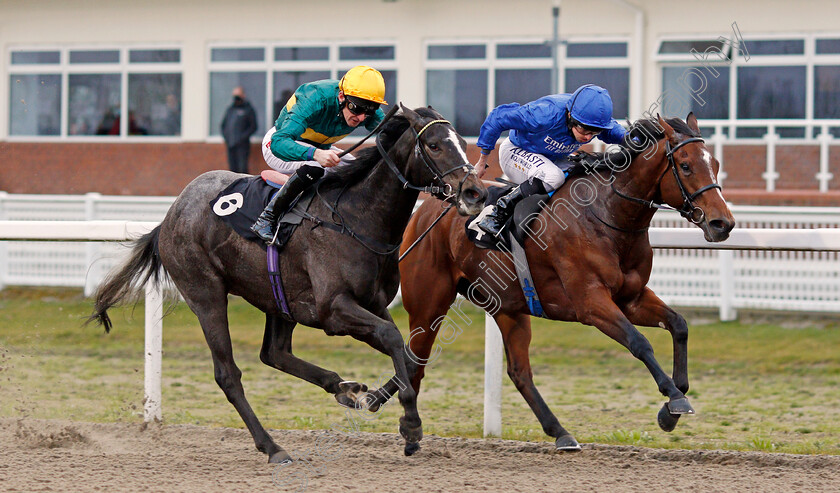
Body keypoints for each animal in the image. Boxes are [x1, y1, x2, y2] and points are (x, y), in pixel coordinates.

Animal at [87, 104, 486, 462]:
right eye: (433, 145)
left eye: (463, 143)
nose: (474, 193)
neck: (356, 217)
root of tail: (169, 218)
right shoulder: (334, 310)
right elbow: (391, 338)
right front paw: (411, 424)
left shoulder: (371, 303)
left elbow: (407, 349)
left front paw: (380, 401)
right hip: (206, 295)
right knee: (228, 374)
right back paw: (272, 447)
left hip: (278, 298)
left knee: (274, 353)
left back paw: (343, 387)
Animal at [398, 113, 732, 452]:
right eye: (686, 165)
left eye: (716, 163)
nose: (723, 223)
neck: (607, 216)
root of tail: (426, 210)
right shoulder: (590, 303)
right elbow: (639, 342)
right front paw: (675, 399)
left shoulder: (632, 298)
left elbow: (679, 325)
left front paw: (672, 404)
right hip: (429, 305)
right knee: (415, 361)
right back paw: (411, 430)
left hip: (508, 307)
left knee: (519, 372)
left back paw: (560, 432)